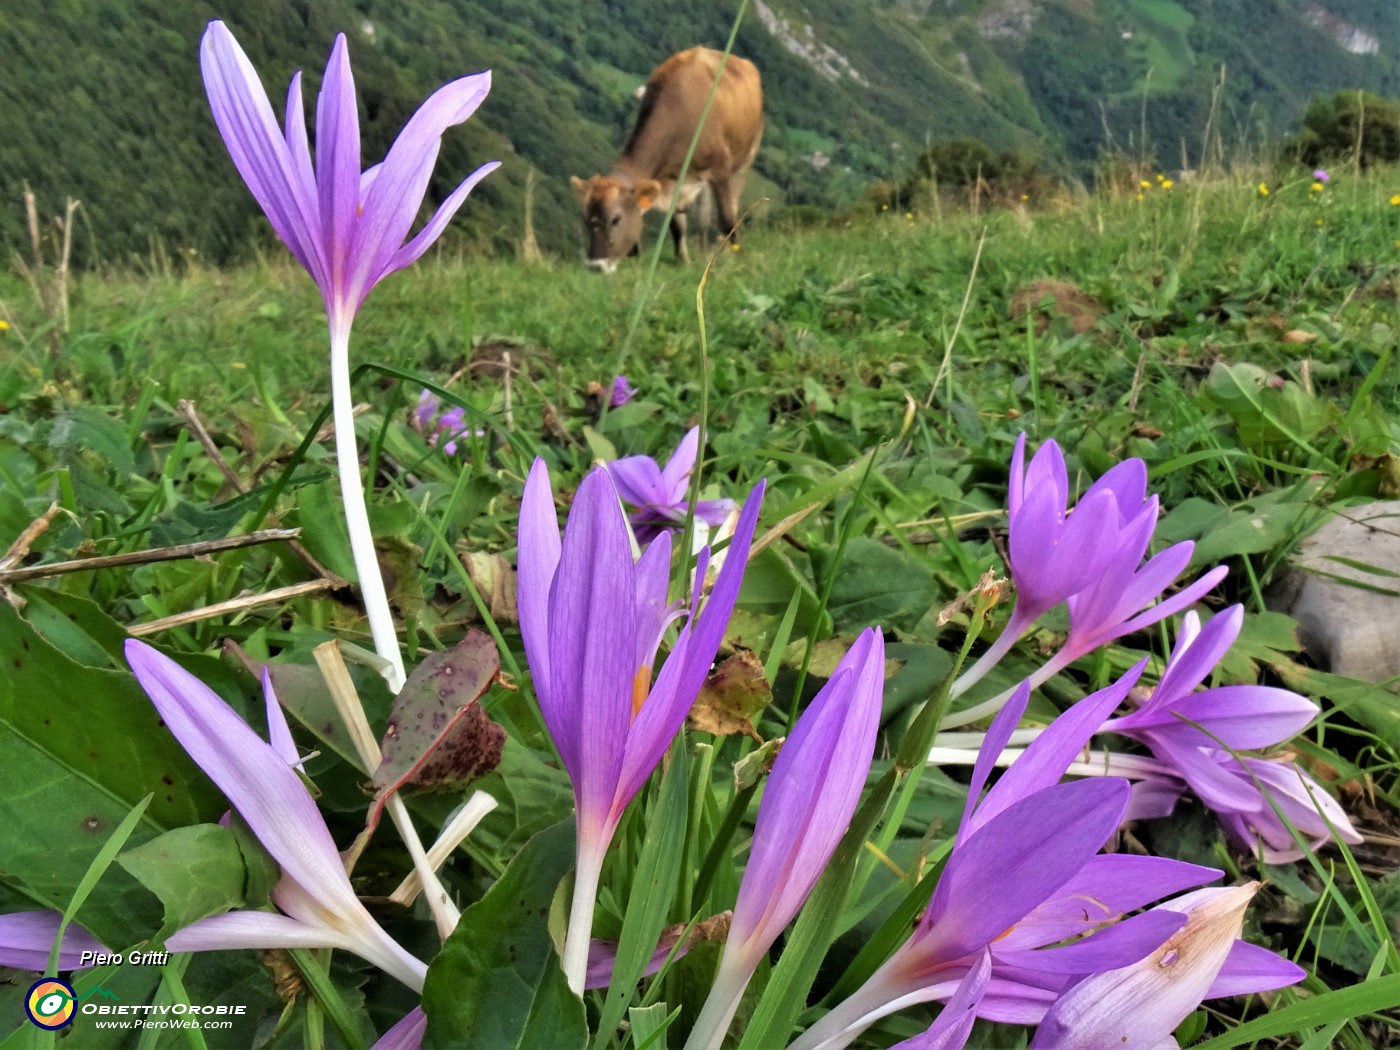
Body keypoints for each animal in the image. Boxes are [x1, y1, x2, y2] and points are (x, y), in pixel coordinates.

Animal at [571, 49, 767, 271]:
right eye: (586, 220)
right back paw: (703, 253)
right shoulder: (670, 180)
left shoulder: (720, 169)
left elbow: (727, 219)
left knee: (732, 208)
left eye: (615, 219)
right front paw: (683, 261)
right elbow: (677, 226)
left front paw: (742, 259)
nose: (595, 265)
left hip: (746, 156)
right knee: (703, 217)